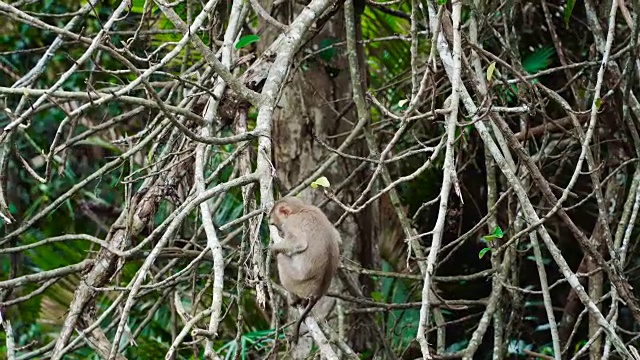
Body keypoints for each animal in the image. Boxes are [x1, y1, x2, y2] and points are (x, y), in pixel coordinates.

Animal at [268, 195, 342, 344]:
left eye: (276, 223)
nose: (279, 231)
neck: (300, 209)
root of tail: (316, 294)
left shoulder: (291, 223)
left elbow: (298, 243)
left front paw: (274, 248)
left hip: (296, 282)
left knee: (282, 257)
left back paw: (293, 298)